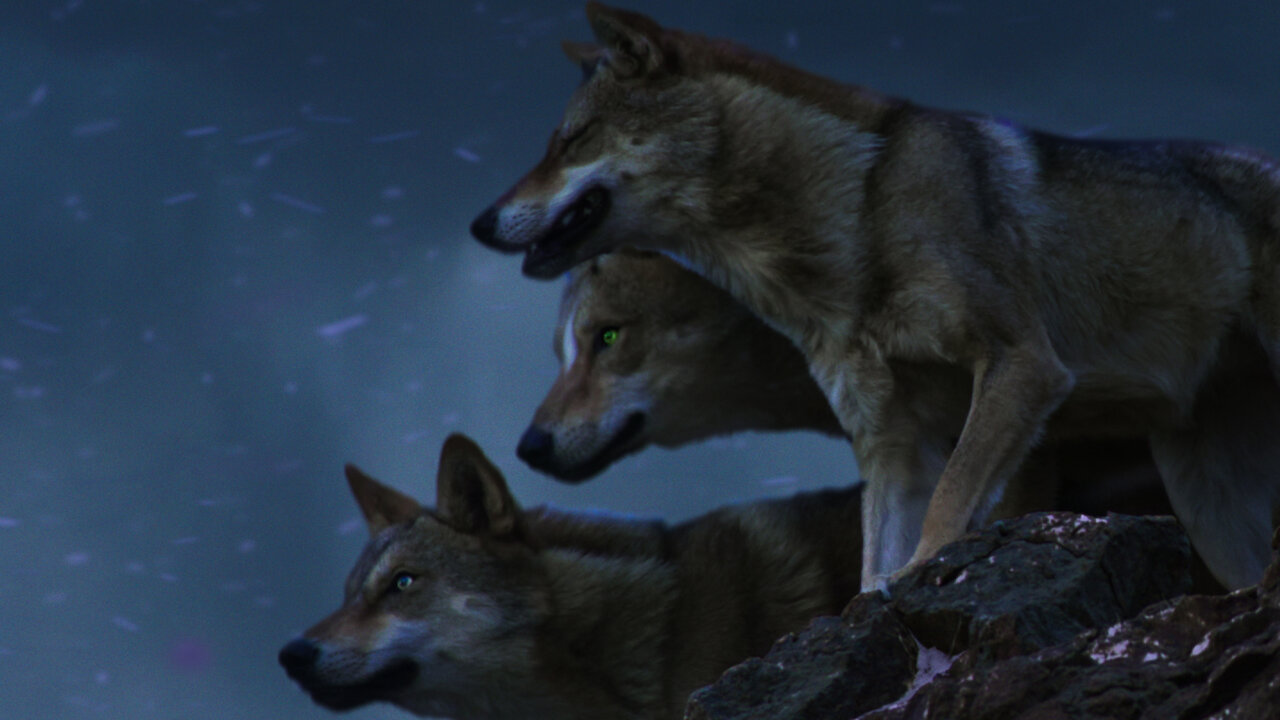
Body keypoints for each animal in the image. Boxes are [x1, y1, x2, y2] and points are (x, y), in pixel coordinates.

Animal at [470, 3, 1280, 590]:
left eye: (570, 140)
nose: (479, 223)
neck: (858, 223)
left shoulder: (1024, 370)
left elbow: (949, 511)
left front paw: (925, 577)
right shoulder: (890, 440)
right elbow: (869, 572)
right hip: (1206, 505)